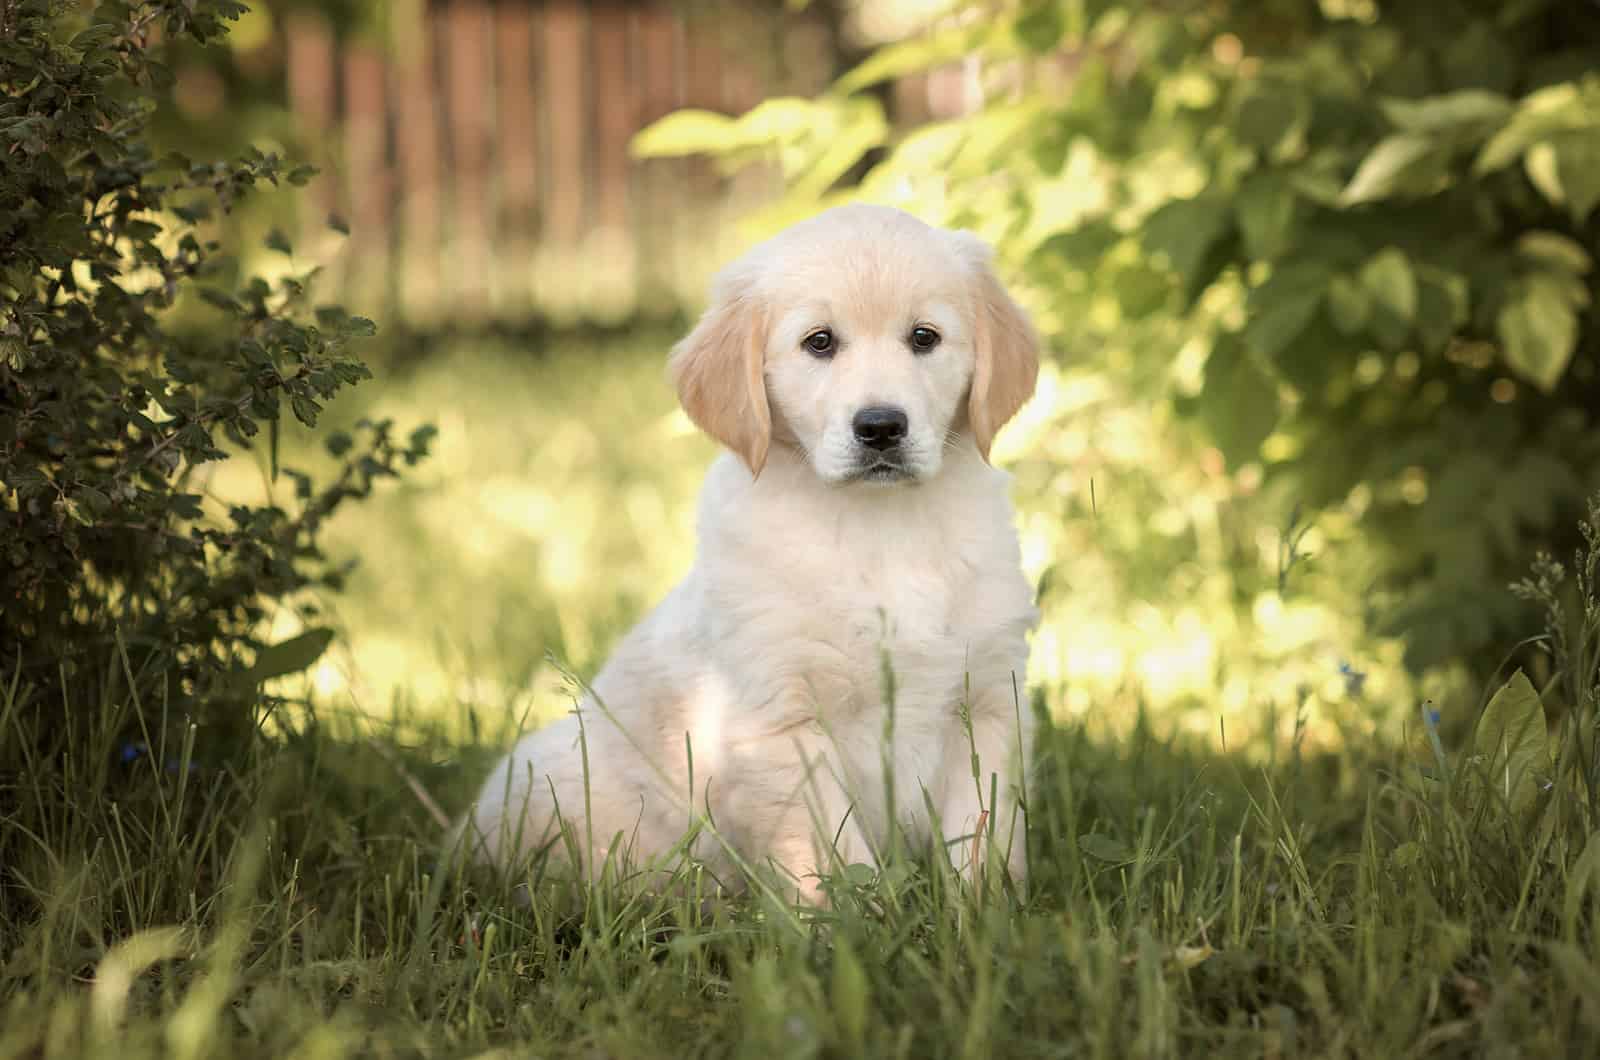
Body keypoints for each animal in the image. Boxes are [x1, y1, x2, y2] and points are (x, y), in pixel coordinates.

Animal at [457, 203, 1043, 903]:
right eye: (819, 342)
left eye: (924, 337)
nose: (880, 426)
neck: (880, 528)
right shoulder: (781, 723)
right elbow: (832, 858)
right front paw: (857, 920)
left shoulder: (988, 701)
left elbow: (981, 837)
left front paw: (981, 914)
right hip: (548, 783)